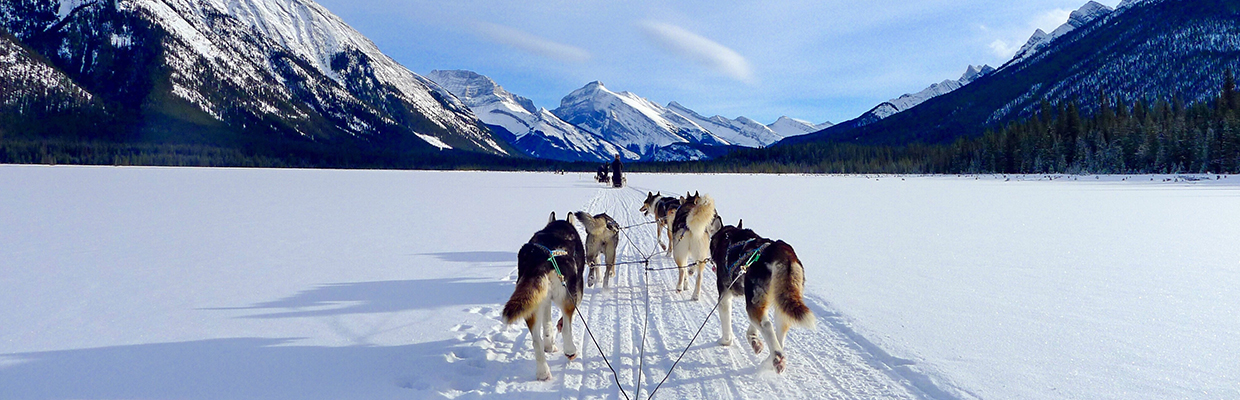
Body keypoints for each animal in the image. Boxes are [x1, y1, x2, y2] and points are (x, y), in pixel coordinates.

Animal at [498, 211, 585, 381]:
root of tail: (541, 259)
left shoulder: (545, 301)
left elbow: (547, 324)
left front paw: (549, 345)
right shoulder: (577, 293)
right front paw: (558, 327)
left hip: (533, 305)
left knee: (536, 340)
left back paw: (543, 372)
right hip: (567, 297)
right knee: (567, 328)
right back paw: (570, 351)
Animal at [709, 220, 813, 373]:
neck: (728, 236)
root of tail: (783, 252)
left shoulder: (724, 297)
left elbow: (726, 325)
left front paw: (725, 341)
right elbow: (752, 330)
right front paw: (754, 340)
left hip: (754, 302)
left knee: (767, 326)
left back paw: (778, 358)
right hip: (780, 303)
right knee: (779, 335)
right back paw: (769, 361)